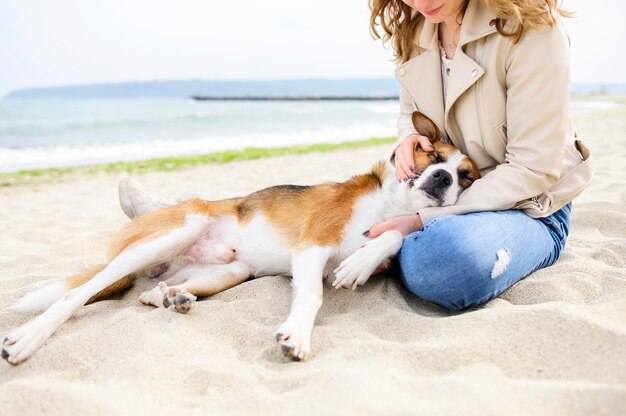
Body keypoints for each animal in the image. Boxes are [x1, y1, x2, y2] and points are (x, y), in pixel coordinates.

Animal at [1, 113, 478, 364]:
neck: (390, 205)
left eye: (467, 176)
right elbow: (312, 296)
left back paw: (170, 297)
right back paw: (28, 338)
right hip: (177, 229)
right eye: (432, 155)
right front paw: (297, 334)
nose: (442, 179)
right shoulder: (312, 245)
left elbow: (393, 238)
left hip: (230, 269)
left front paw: (363, 259)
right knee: (76, 294)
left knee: (150, 292)